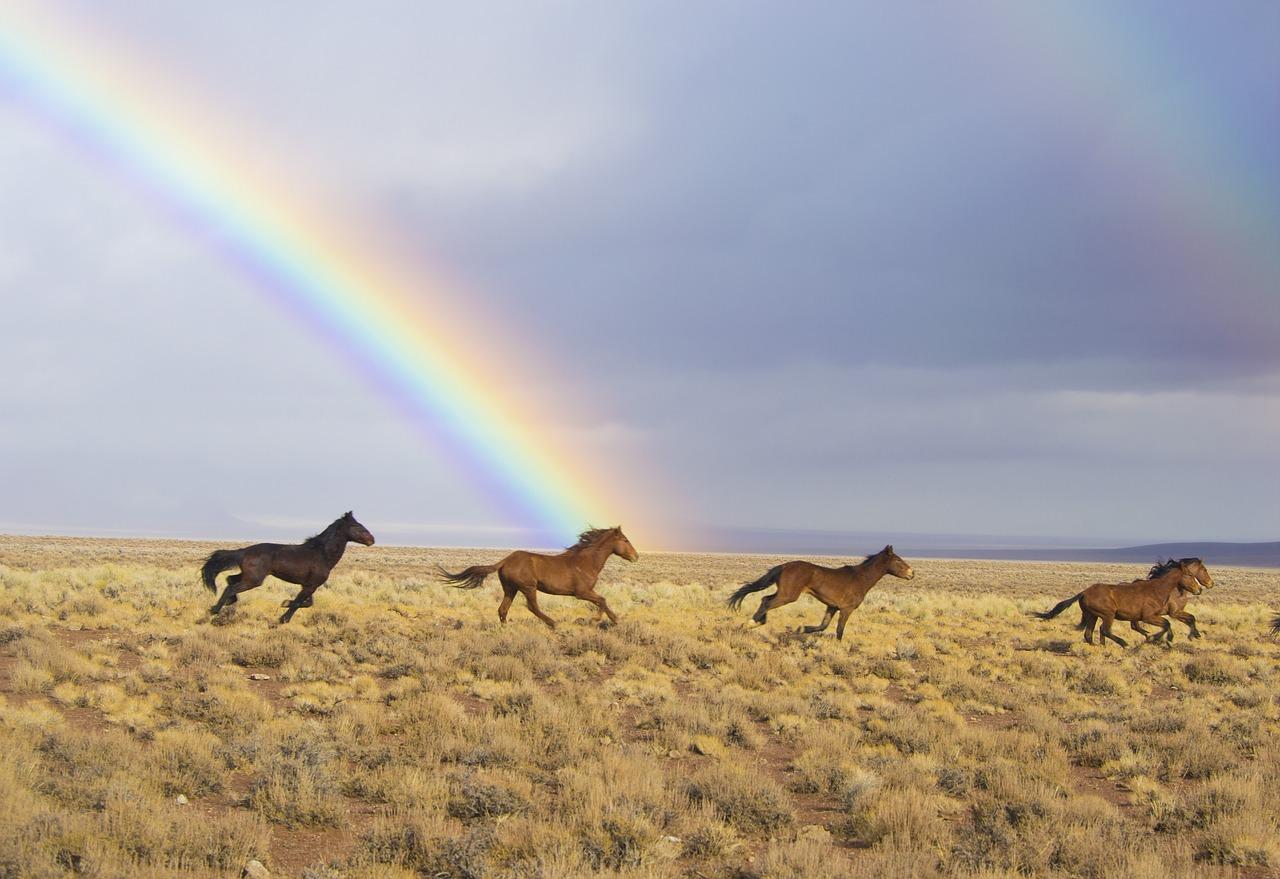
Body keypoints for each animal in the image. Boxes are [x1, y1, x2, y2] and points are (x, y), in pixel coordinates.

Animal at [199, 509, 371, 626]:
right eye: (356, 525)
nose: (372, 540)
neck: (322, 554)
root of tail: (244, 551)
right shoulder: (310, 586)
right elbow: (298, 603)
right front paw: (283, 618)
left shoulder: (309, 585)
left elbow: (307, 603)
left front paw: (284, 603)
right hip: (254, 579)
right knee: (231, 587)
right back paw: (215, 609)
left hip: (248, 576)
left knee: (230, 580)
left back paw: (227, 602)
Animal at [437, 527, 637, 629]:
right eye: (625, 540)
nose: (636, 557)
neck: (586, 561)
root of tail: (505, 560)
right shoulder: (582, 592)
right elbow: (602, 600)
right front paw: (593, 620)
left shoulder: (587, 592)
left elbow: (603, 601)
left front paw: (614, 620)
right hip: (528, 588)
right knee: (532, 607)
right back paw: (553, 623)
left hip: (511, 589)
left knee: (503, 609)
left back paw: (506, 629)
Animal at [721, 542, 921, 639]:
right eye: (898, 561)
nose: (912, 573)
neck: (860, 579)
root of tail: (784, 566)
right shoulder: (846, 610)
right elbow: (839, 632)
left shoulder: (832, 607)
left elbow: (822, 626)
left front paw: (801, 628)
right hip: (788, 595)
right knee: (767, 602)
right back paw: (750, 623)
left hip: (784, 593)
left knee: (765, 599)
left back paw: (756, 623)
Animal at [1034, 560, 1203, 649]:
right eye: (1189, 574)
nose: (1199, 589)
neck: (1157, 589)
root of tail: (1083, 592)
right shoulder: (1148, 617)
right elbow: (1167, 624)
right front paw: (1158, 639)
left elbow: (1166, 624)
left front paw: (1157, 639)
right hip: (1107, 615)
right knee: (1104, 630)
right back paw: (1123, 643)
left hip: (1093, 615)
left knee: (1089, 633)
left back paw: (1099, 646)